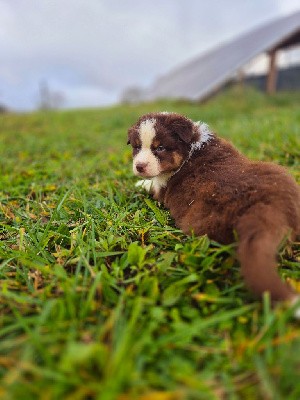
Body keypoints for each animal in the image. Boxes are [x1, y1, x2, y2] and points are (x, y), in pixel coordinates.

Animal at [127, 111, 300, 316]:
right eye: (137, 147)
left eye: (160, 148)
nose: (139, 166)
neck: (190, 148)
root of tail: (268, 210)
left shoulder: (161, 187)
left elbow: (151, 183)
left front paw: (139, 184)